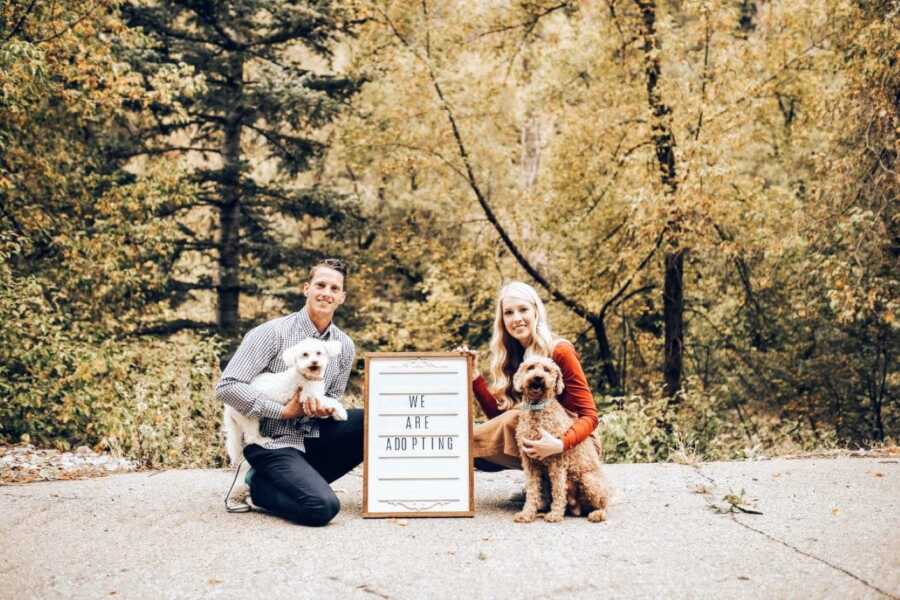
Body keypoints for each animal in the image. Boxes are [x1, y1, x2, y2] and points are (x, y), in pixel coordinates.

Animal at [512, 358, 612, 524]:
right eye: (530, 367)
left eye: (546, 369)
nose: (538, 378)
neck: (538, 411)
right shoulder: (529, 462)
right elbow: (532, 491)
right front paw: (527, 514)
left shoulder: (557, 462)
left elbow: (558, 490)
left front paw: (555, 514)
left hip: (588, 480)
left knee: (603, 504)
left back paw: (597, 514)